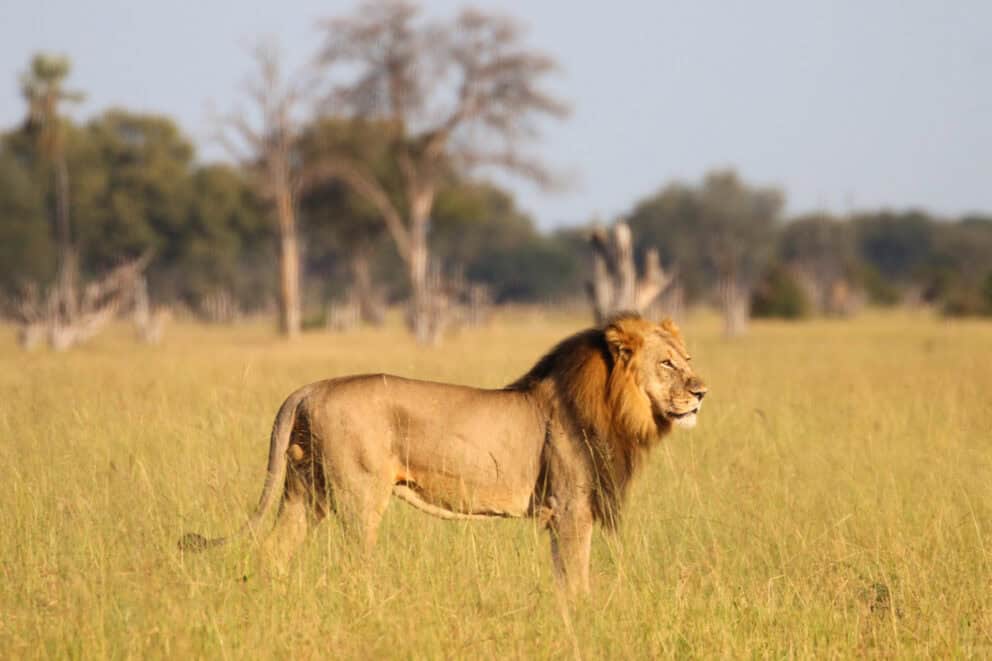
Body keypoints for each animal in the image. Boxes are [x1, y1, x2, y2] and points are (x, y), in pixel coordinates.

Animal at [179, 313, 707, 594]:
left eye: (687, 360)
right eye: (666, 364)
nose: (702, 392)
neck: (619, 407)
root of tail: (310, 387)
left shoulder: (566, 511)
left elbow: (565, 574)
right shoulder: (570, 508)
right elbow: (575, 576)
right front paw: (582, 615)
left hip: (305, 490)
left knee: (274, 548)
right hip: (357, 496)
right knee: (354, 561)